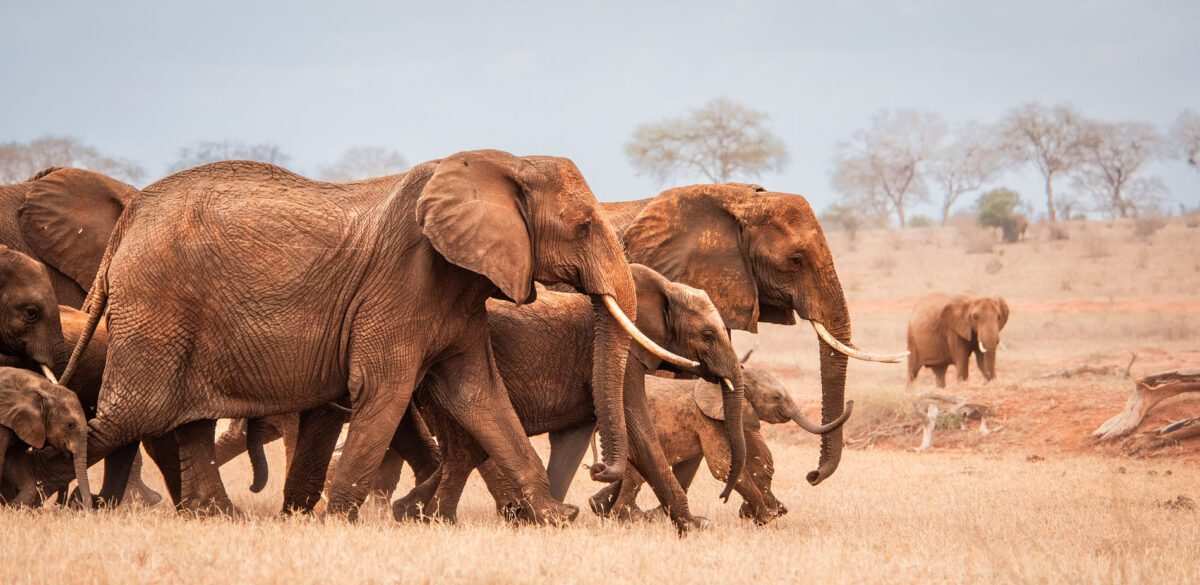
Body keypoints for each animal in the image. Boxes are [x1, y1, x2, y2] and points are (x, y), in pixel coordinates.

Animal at [54, 150, 695, 522]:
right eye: (584, 226)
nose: (600, 476)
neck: (501, 163)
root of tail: (128, 219)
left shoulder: (456, 290)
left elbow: (480, 395)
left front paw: (556, 519)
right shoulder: (402, 282)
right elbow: (384, 390)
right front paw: (333, 520)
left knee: (180, 419)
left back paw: (215, 517)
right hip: (156, 308)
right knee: (129, 414)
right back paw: (50, 497)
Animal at [590, 355, 852, 525]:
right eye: (777, 397)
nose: (811, 475)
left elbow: (758, 460)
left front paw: (771, 513)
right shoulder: (707, 419)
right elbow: (723, 466)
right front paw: (766, 517)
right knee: (636, 475)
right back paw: (628, 519)